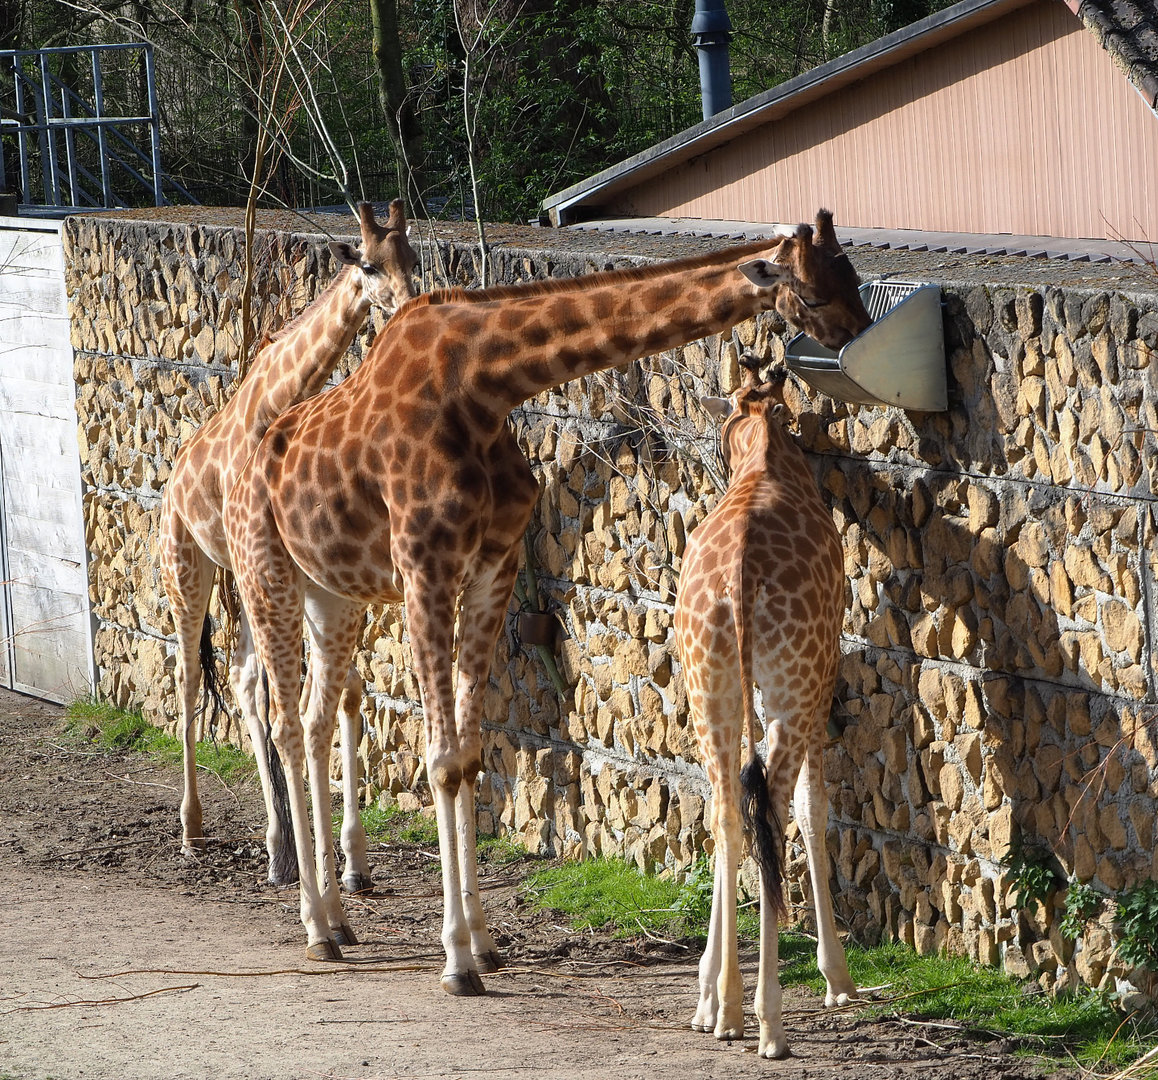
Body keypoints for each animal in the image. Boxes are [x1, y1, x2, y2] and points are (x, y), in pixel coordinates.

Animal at [158, 200, 419, 890]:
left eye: (412, 257)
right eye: (368, 264)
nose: (409, 302)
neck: (280, 396)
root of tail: (171, 481)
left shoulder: (325, 570)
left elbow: (347, 691)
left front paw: (351, 861)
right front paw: (321, 860)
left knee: (243, 677)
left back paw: (280, 847)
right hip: (187, 564)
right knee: (193, 676)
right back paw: (196, 830)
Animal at [220, 211, 872, 987]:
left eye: (852, 273)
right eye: (815, 287)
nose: (858, 335)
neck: (484, 385)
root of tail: (242, 459)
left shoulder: (491, 565)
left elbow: (469, 756)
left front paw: (483, 941)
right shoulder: (424, 567)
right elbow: (441, 759)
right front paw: (456, 959)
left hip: (332, 592)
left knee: (318, 720)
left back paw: (340, 919)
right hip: (266, 573)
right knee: (285, 721)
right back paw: (313, 923)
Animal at [674, 358, 857, 1059]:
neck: (766, 458)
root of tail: (739, 580)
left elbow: (723, 814)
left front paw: (705, 997)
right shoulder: (823, 673)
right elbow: (813, 809)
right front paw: (838, 980)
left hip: (710, 683)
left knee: (728, 813)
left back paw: (724, 1008)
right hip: (791, 687)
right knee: (773, 814)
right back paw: (769, 1023)